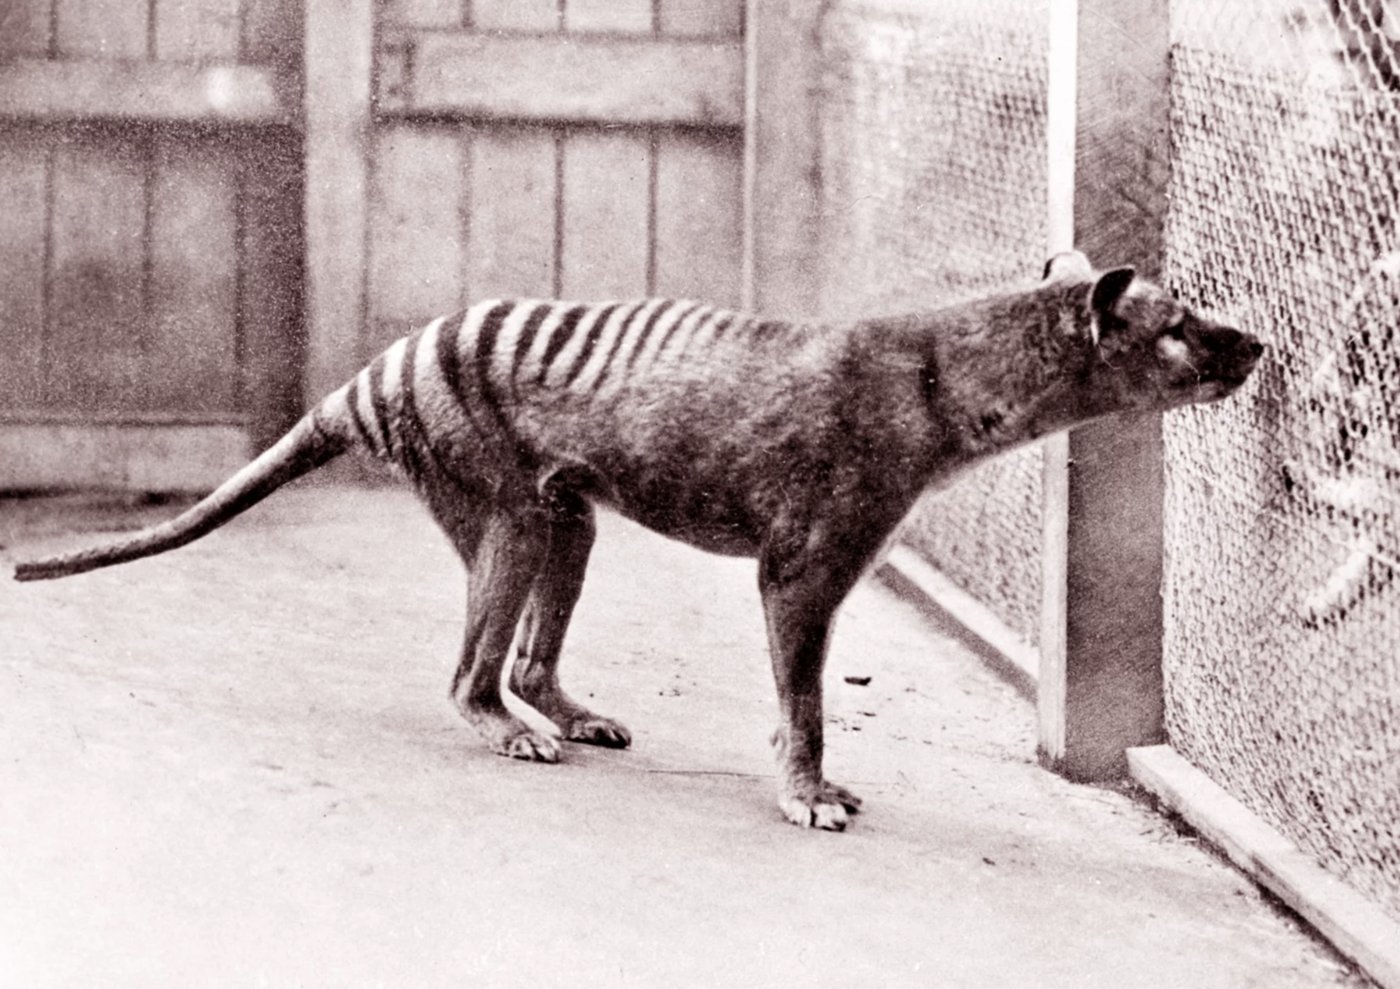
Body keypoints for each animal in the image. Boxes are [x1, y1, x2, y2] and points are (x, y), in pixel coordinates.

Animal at [14, 251, 1264, 832]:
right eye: (1177, 324)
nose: (1254, 342)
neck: (942, 375)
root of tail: (373, 374)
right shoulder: (803, 563)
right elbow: (803, 699)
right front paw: (807, 791)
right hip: (508, 510)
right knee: (470, 671)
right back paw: (510, 731)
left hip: (565, 513)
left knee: (527, 654)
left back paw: (565, 711)